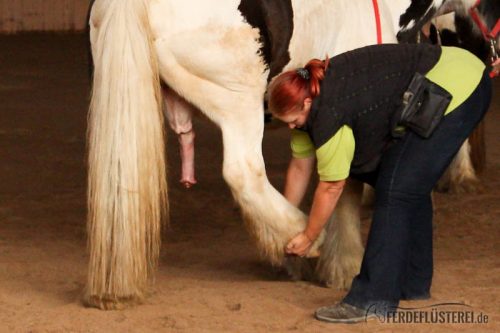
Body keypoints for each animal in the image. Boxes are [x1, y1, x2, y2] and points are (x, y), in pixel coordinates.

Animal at [86, 0, 496, 308]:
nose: (489, 55)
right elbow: (344, 190)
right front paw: (343, 265)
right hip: (238, 102)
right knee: (244, 174)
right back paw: (304, 239)